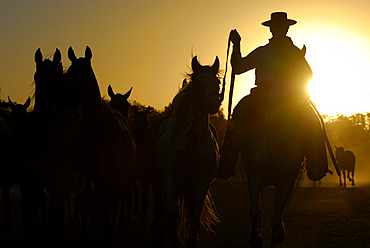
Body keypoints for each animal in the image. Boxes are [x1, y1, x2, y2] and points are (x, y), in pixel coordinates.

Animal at [66, 46, 137, 246]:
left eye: (83, 76)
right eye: (68, 74)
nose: (67, 104)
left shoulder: (105, 176)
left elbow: (107, 205)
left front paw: (106, 233)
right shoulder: (84, 173)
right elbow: (85, 204)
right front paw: (85, 233)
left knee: (113, 202)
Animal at [151, 56, 221, 248]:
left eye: (218, 83)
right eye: (197, 83)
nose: (214, 104)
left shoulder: (201, 182)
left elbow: (194, 215)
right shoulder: (170, 180)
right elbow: (173, 213)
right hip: (157, 179)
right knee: (160, 209)